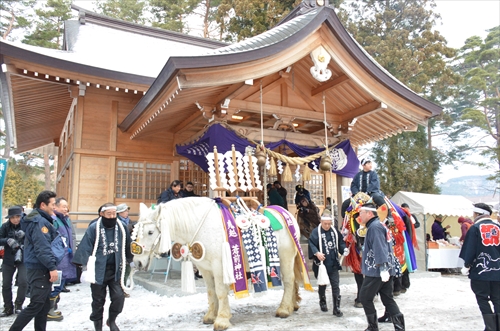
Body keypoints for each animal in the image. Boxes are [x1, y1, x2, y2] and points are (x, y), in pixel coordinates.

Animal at [131, 198, 306, 330]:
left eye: (150, 232)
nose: (137, 262)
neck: (202, 226)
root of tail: (286, 214)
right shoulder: (205, 269)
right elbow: (211, 292)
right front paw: (210, 316)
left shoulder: (218, 267)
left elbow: (221, 292)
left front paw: (222, 319)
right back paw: (292, 305)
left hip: (285, 257)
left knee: (289, 280)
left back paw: (283, 309)